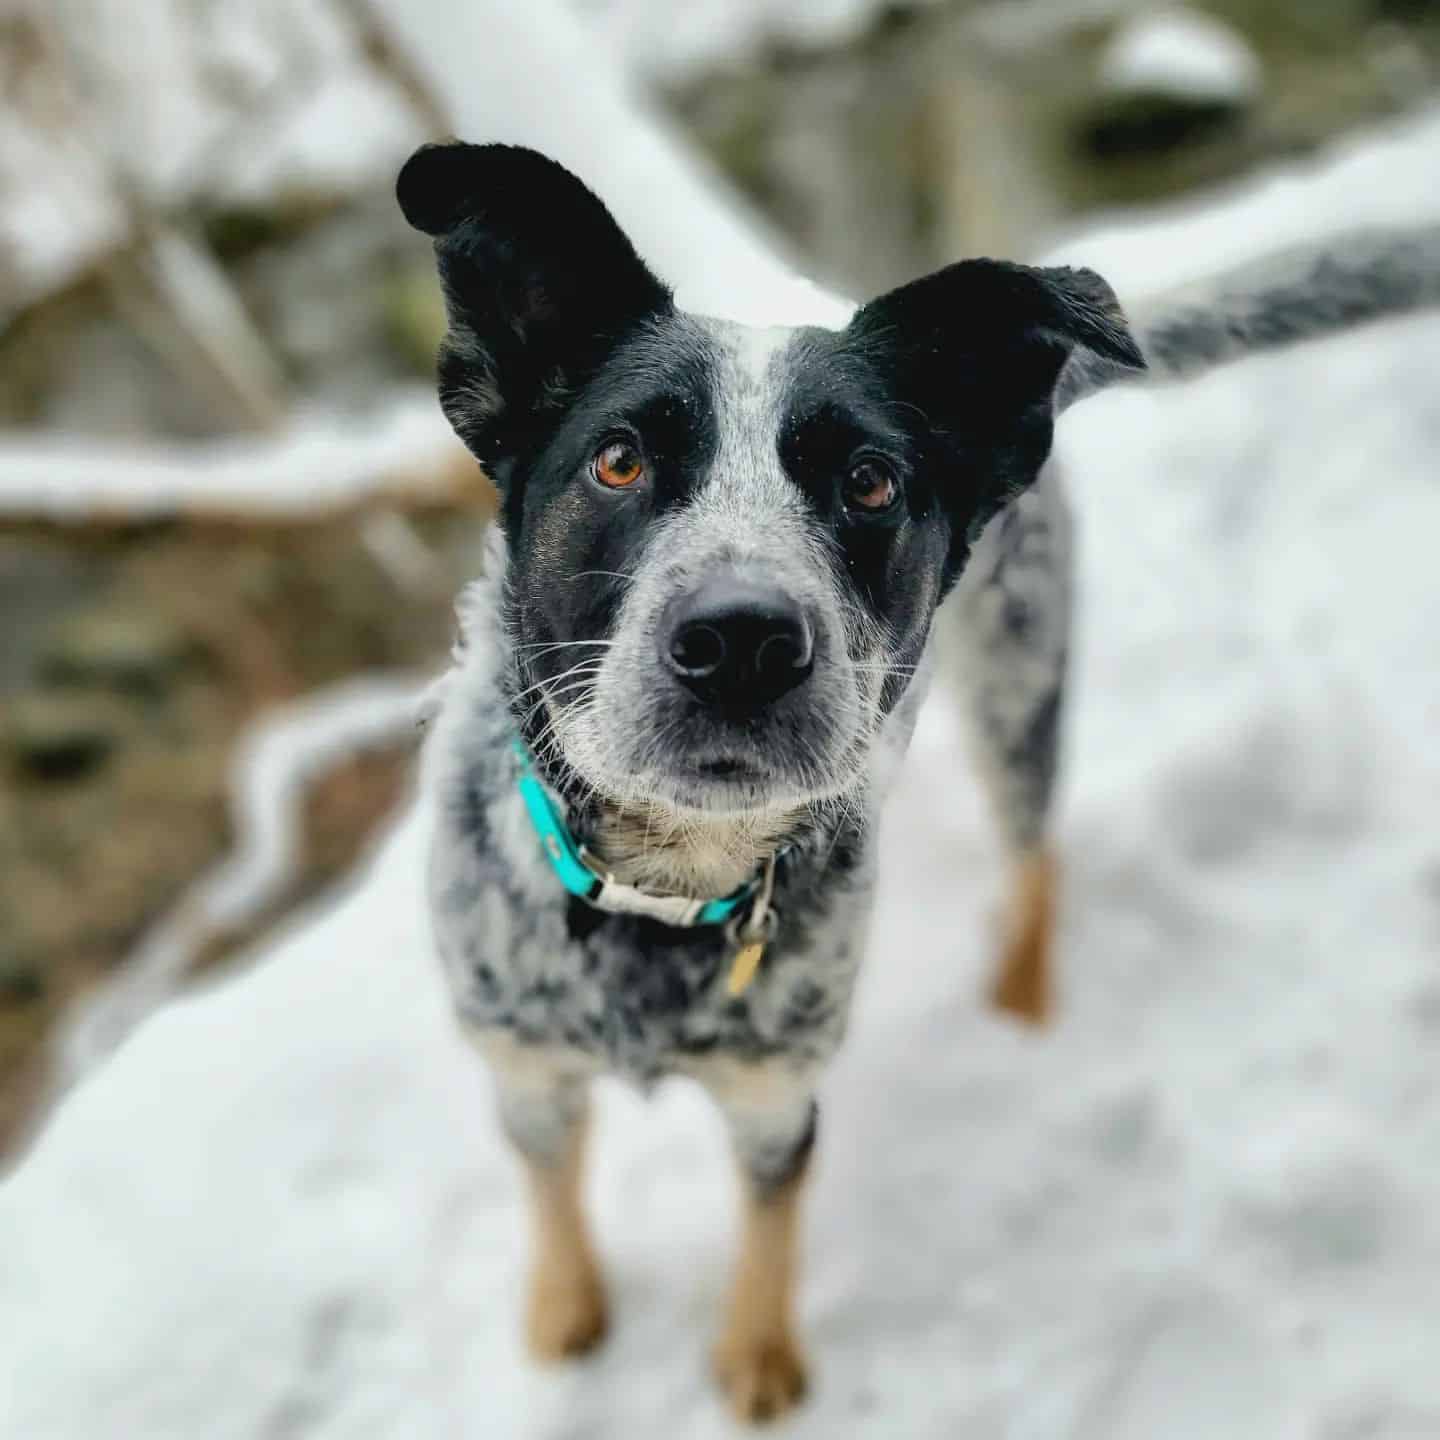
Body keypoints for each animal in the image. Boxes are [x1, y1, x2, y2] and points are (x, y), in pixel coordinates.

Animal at [400, 140, 1440, 1422]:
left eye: (870, 482)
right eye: (619, 458)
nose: (743, 639)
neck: (663, 892)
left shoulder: (778, 1102)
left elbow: (768, 1233)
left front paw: (757, 1361)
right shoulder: (526, 1071)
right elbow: (552, 1191)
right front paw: (565, 1315)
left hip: (1019, 687)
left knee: (1037, 856)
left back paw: (1022, 1004)